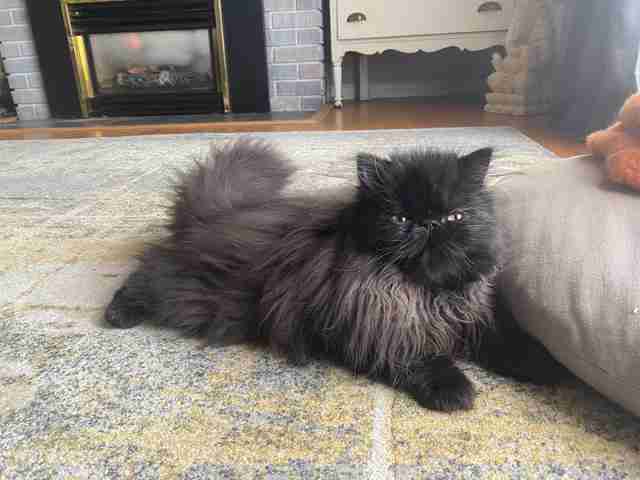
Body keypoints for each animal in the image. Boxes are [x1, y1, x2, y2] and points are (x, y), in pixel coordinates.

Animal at [105, 139, 564, 412]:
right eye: (399, 218)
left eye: (454, 216)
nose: (427, 225)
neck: (419, 293)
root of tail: (218, 214)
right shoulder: (369, 326)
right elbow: (416, 356)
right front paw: (454, 390)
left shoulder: (469, 316)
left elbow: (503, 342)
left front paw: (543, 365)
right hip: (193, 291)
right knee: (145, 273)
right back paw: (116, 316)